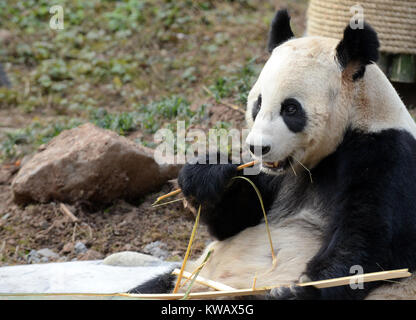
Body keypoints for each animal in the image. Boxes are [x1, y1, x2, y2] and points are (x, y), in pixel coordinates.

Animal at [130, 10, 416, 300]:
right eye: (258, 104)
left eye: (290, 108)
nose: (257, 147)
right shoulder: (275, 177)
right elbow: (237, 219)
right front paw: (204, 176)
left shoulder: (385, 154)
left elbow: (370, 239)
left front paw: (296, 291)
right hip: (186, 275)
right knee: (152, 286)